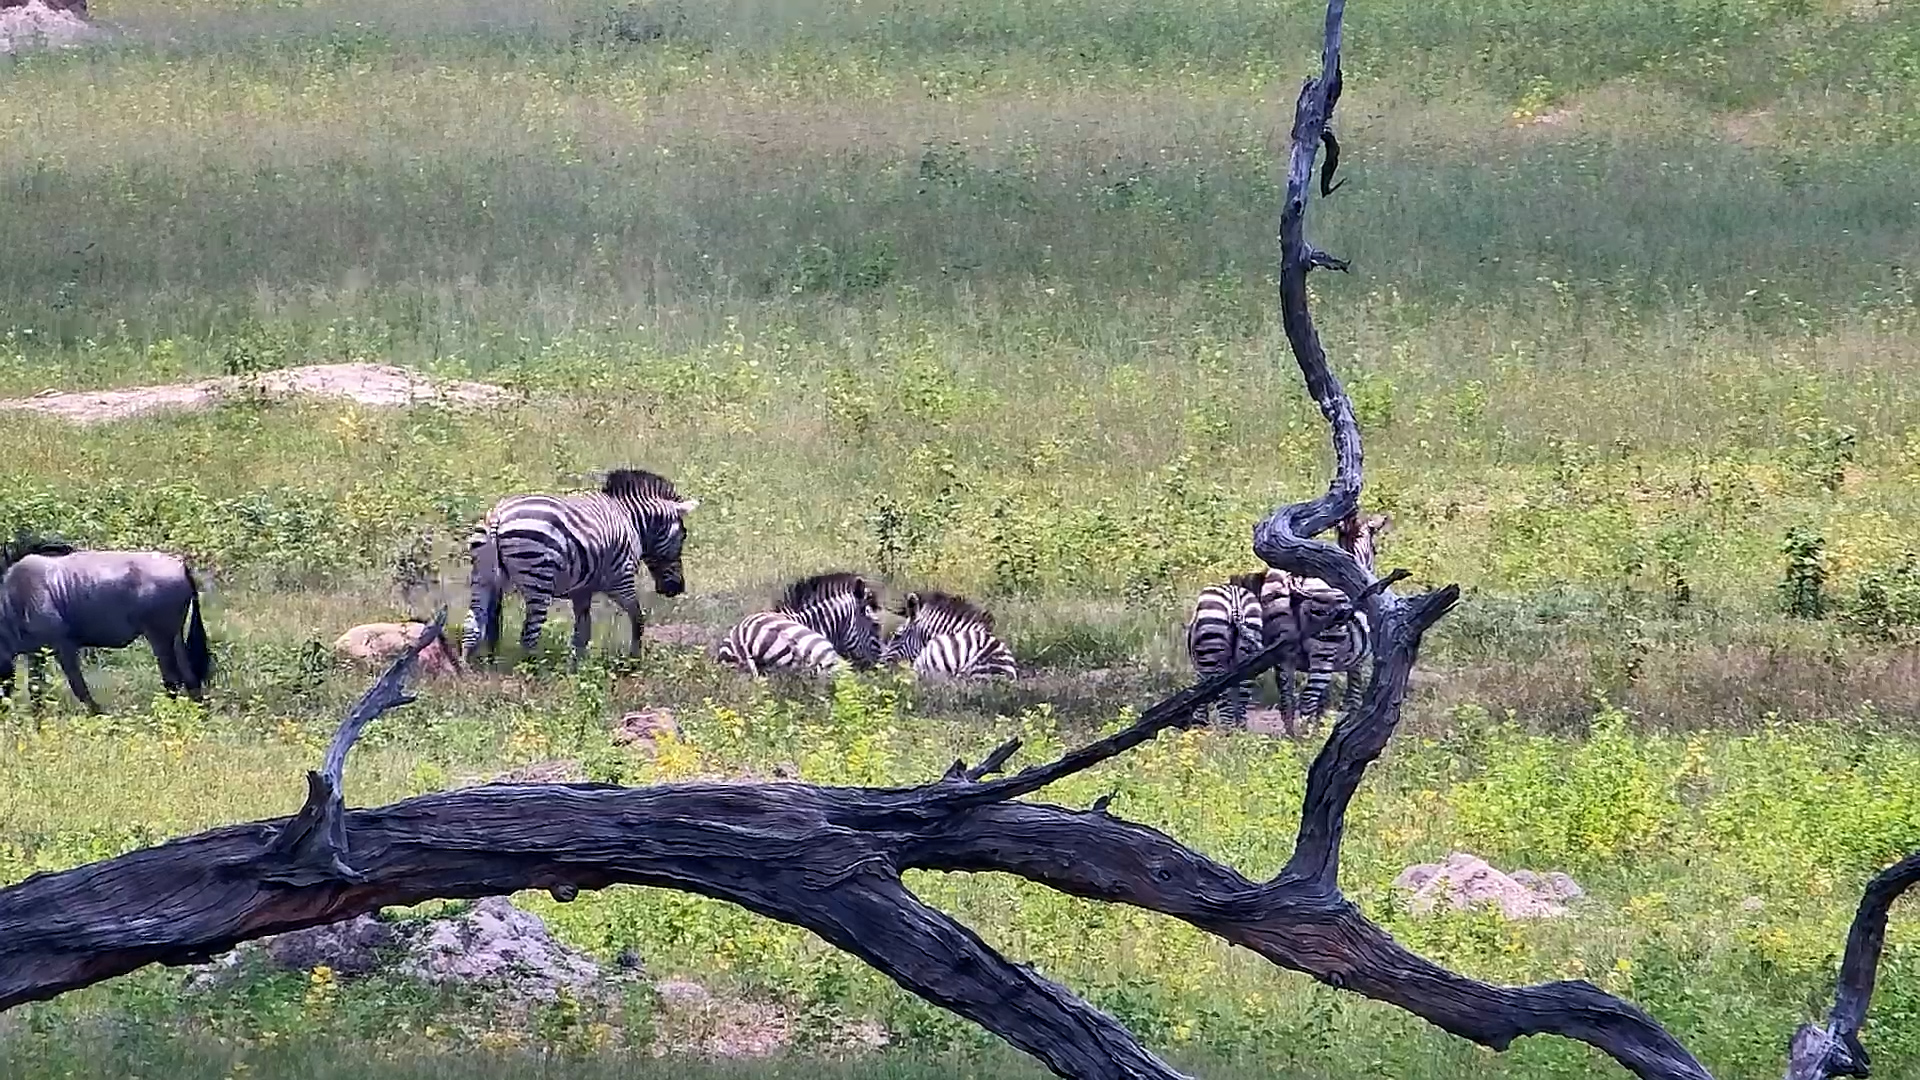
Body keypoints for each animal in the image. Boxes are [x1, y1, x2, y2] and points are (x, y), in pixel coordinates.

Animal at [462, 468, 698, 669]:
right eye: (683, 535)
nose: (676, 588)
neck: (629, 519)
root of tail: (498, 516)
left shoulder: (582, 590)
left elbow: (583, 632)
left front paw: (578, 668)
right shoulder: (621, 579)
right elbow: (637, 618)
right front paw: (634, 661)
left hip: (482, 578)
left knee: (472, 625)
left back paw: (465, 672)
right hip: (538, 581)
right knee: (529, 635)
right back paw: (536, 673)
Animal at [1184, 579, 1264, 727]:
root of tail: (1236, 601)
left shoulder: (1202, 672)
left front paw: (1199, 723)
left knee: (1226, 713)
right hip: (1248, 658)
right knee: (1240, 702)